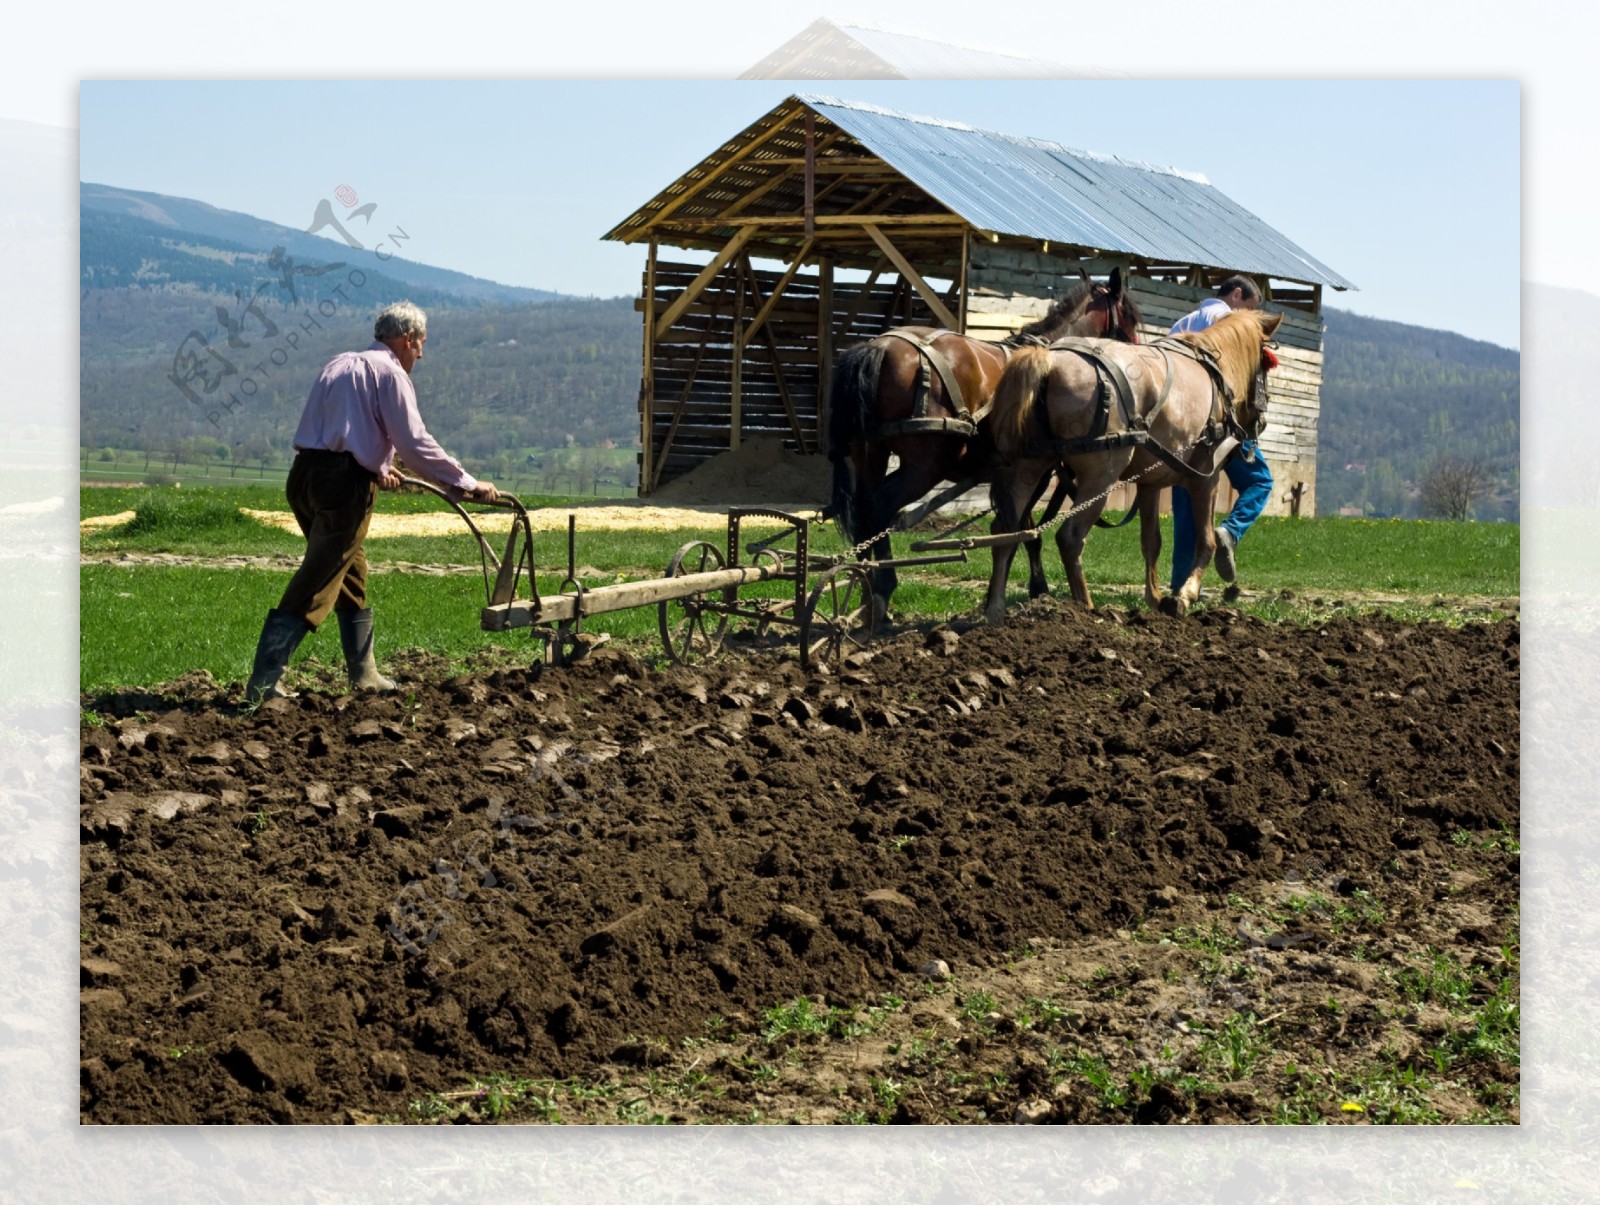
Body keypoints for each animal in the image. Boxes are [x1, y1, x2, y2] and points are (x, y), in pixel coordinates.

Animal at [972, 305, 1286, 623]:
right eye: (1266, 366)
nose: (1260, 421)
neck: (1214, 372)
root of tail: (1050, 360)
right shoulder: (1206, 478)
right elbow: (1206, 540)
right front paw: (1184, 595)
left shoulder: (1150, 484)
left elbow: (1151, 542)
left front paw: (1155, 600)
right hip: (1101, 477)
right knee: (1070, 537)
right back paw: (1087, 609)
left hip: (1029, 468)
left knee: (1006, 531)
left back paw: (995, 609)